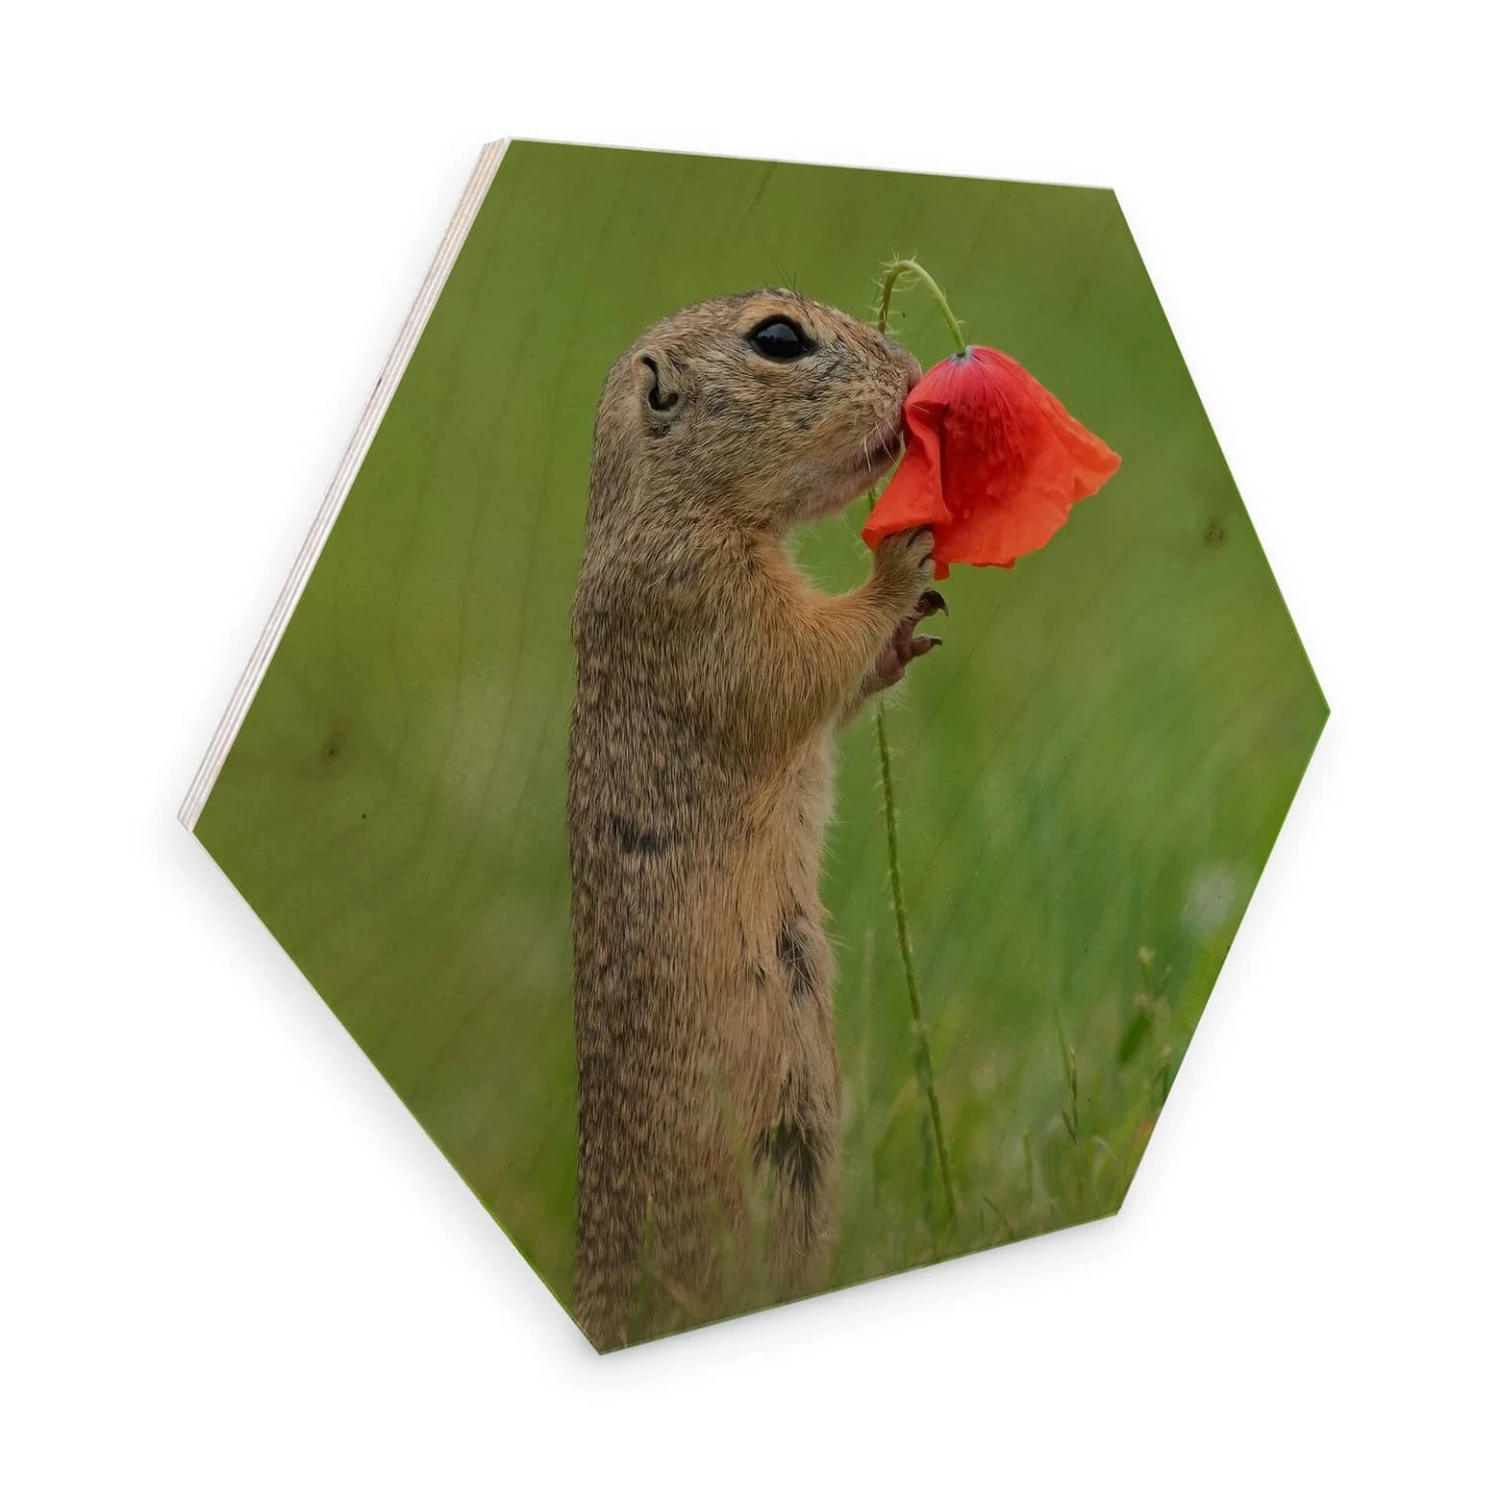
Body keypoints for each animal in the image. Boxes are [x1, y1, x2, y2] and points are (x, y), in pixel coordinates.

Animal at [568, 289, 944, 1349]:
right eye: (778, 338)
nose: (913, 371)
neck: (674, 507)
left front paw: (908, 634)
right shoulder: (704, 604)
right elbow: (801, 659)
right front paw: (901, 559)